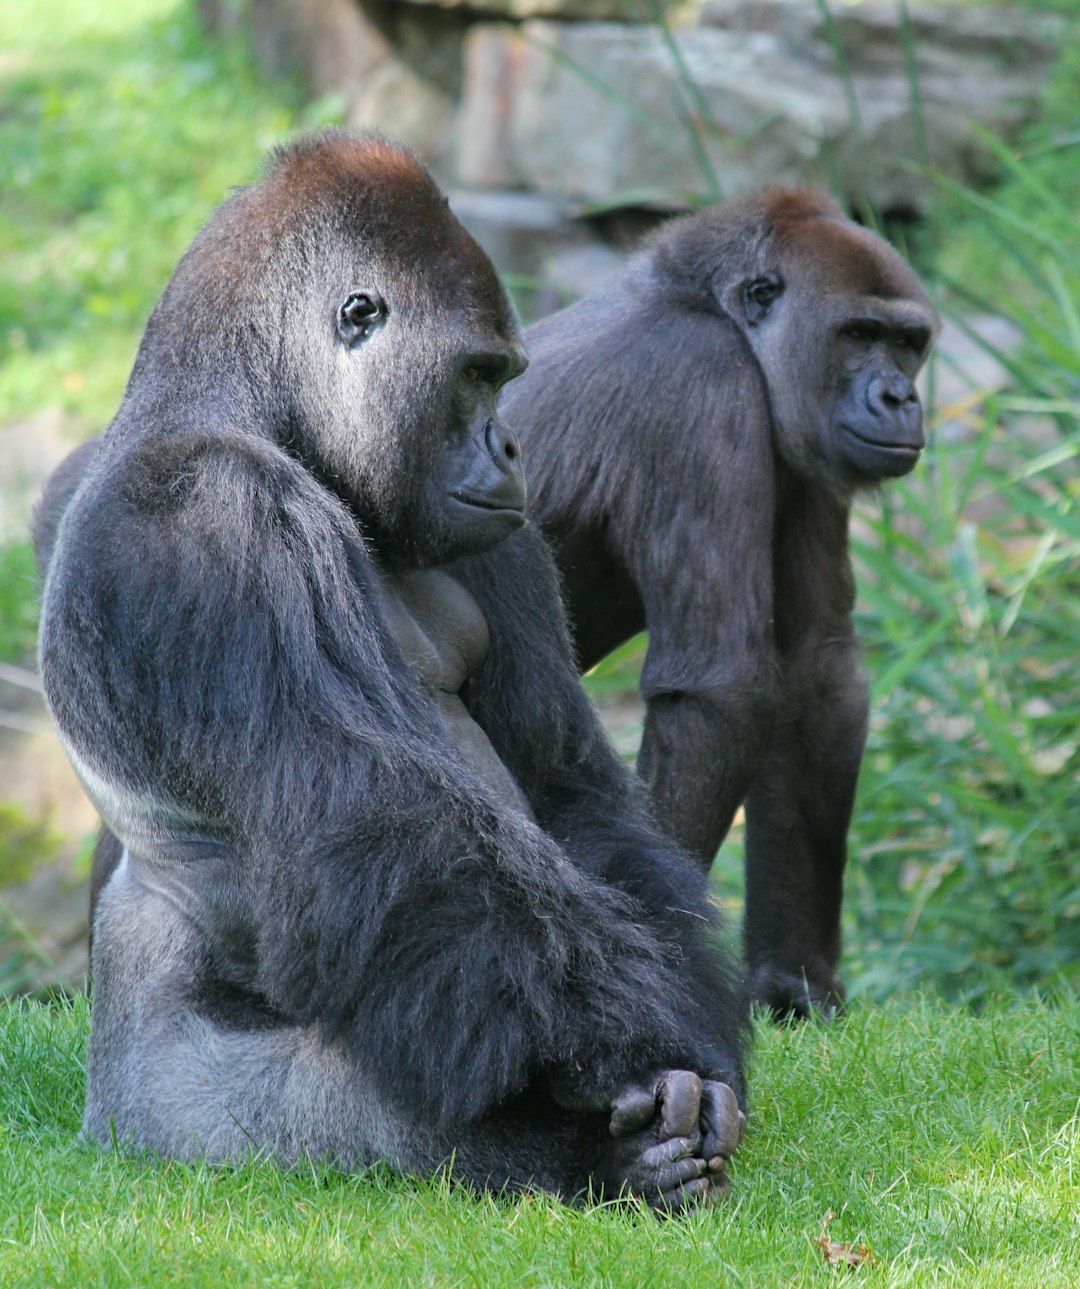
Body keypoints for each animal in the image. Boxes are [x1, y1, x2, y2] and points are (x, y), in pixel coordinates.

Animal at [40, 130, 752, 1206]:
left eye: (505, 376)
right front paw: (639, 1052)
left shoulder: (500, 539)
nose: (511, 444)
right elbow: (384, 825)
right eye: (478, 374)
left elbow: (564, 785)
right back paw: (597, 1156)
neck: (257, 412)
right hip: (168, 1117)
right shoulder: (206, 514)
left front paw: (698, 1040)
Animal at [507, 190, 938, 1015]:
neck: (706, 303)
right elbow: (723, 687)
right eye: (858, 335)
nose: (901, 396)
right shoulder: (699, 382)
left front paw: (795, 978)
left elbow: (814, 676)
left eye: (908, 343)